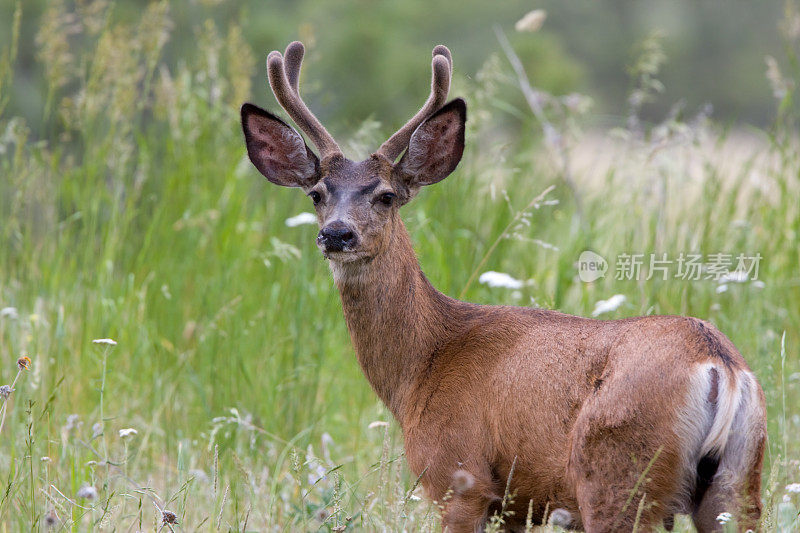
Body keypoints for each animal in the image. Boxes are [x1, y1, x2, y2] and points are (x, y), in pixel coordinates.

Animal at [239, 42, 768, 532]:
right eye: (317, 194)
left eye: (386, 196)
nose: (337, 234)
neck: (421, 367)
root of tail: (720, 366)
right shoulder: (515, 506)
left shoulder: (459, 479)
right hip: (738, 485)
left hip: (615, 478)